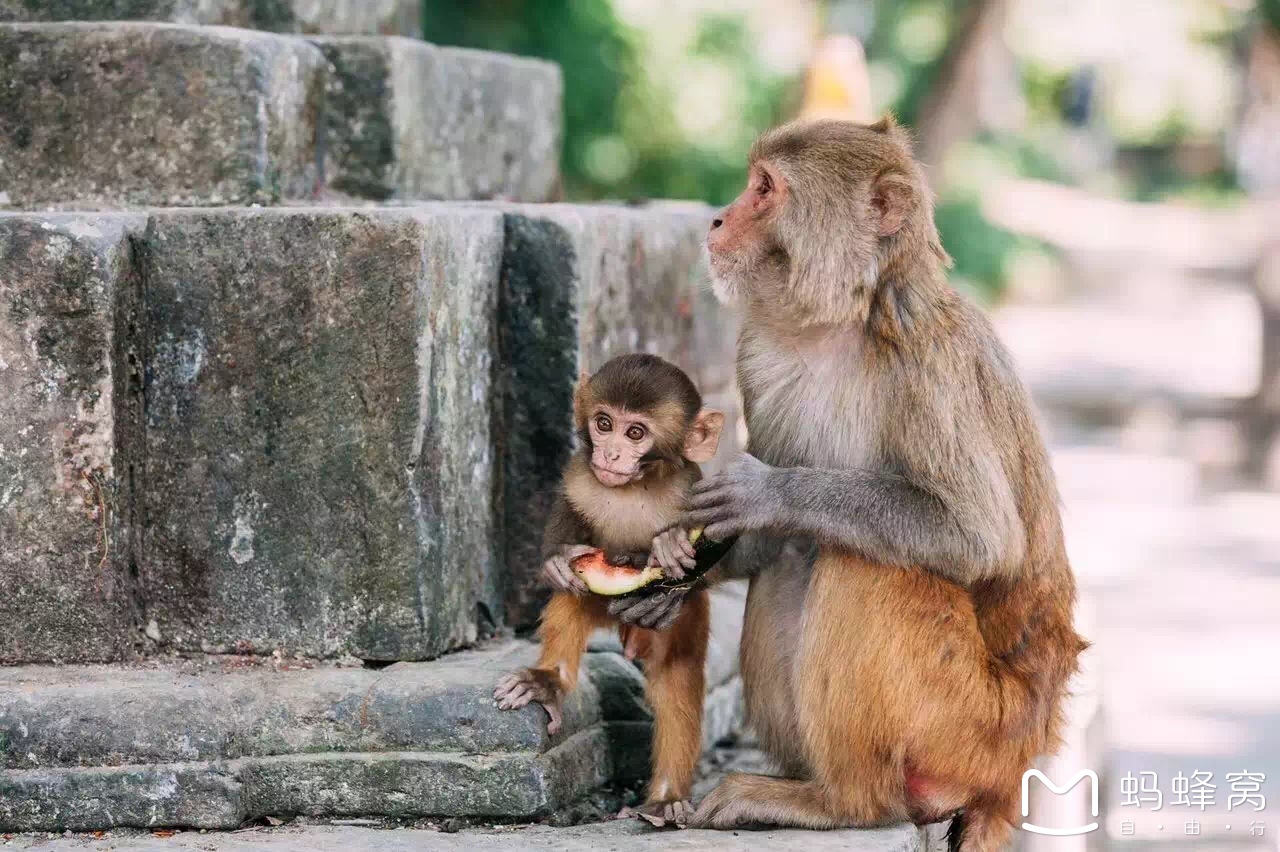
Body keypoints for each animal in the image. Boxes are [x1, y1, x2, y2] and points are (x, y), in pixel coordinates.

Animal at [494, 350, 727, 823]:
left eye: (635, 432)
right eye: (604, 423)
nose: (612, 452)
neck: (635, 485)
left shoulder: (696, 490)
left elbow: (709, 557)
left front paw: (667, 547)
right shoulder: (579, 473)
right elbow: (564, 520)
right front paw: (555, 561)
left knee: (675, 675)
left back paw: (667, 798)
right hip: (594, 600)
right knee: (572, 599)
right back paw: (548, 681)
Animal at [614, 116, 1085, 844]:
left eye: (765, 188)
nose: (718, 219)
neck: (844, 324)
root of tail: (1017, 766)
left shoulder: (930, 368)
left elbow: (979, 536)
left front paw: (771, 492)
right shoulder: (757, 355)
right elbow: (754, 538)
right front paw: (674, 565)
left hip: (970, 725)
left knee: (858, 562)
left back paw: (842, 802)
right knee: (793, 558)